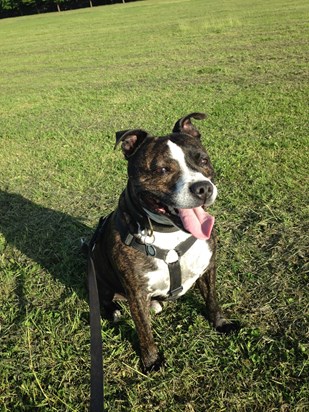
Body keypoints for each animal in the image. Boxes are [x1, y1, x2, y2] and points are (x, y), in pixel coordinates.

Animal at [88, 112, 237, 370]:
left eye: (203, 160)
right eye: (163, 169)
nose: (203, 188)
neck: (169, 231)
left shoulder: (208, 268)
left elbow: (212, 299)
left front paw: (220, 323)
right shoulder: (136, 292)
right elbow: (143, 330)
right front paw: (151, 360)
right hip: (98, 278)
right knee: (104, 300)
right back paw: (114, 311)